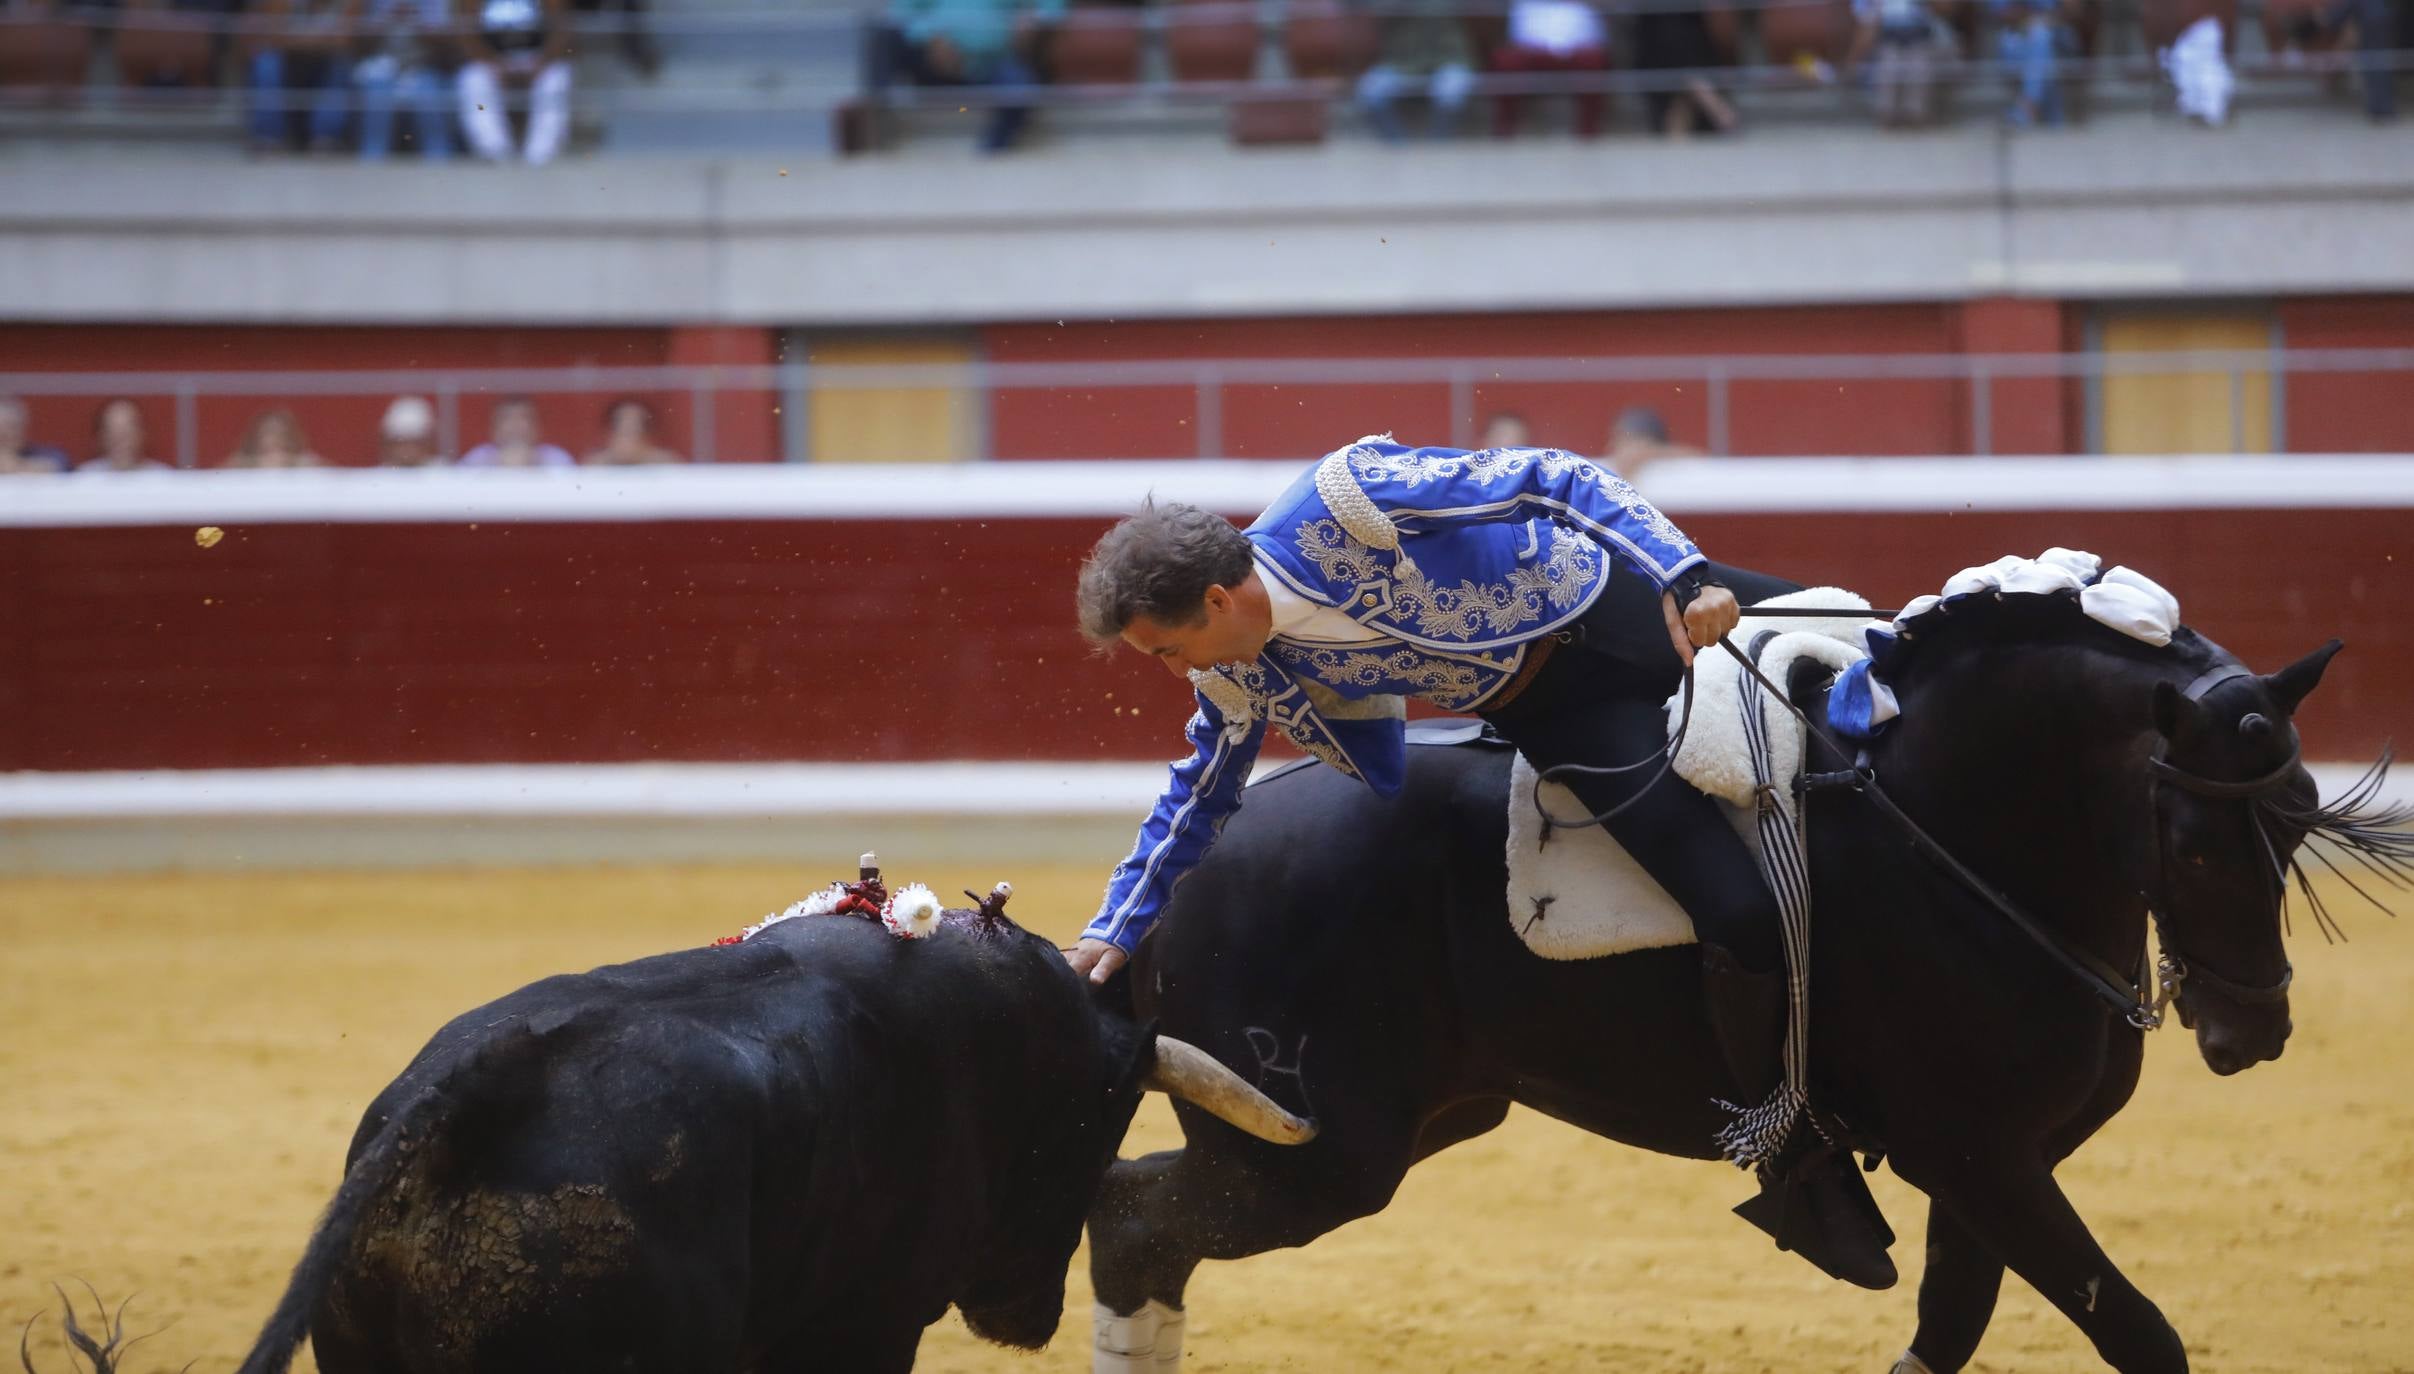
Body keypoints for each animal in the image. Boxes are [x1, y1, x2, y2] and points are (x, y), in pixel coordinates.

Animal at [1095, 589, 2414, 1371]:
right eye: (2190, 846)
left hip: (1407, 1127)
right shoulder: (1973, 1154)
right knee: (1129, 1223)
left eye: (2298, 816)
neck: (1944, 830)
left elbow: (1946, 1332)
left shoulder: (1991, 1168)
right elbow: (2138, 1335)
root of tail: (1179, 876)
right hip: (1315, 1157)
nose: (2251, 1029)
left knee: (1143, 1234)